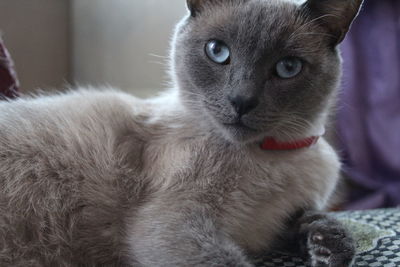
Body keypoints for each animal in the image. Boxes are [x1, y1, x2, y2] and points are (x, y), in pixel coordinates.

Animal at [0, 0, 362, 266]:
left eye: (288, 67)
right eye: (218, 51)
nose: (241, 101)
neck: (273, 155)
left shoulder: (285, 217)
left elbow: (319, 219)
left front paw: (327, 246)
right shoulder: (177, 221)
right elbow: (225, 260)